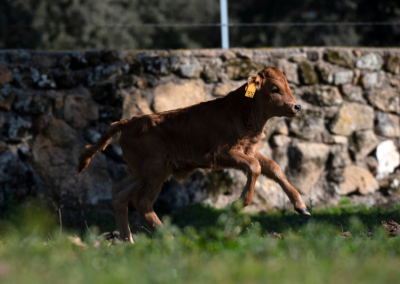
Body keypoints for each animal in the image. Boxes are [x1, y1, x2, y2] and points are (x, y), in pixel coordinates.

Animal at [78, 66, 310, 242]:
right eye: (275, 88)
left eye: (288, 86)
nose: (296, 106)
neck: (241, 111)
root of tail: (129, 121)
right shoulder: (221, 153)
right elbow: (255, 167)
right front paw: (236, 205)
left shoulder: (249, 149)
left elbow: (273, 167)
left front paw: (301, 206)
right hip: (155, 170)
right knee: (141, 201)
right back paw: (169, 239)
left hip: (142, 172)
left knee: (119, 193)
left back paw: (128, 241)